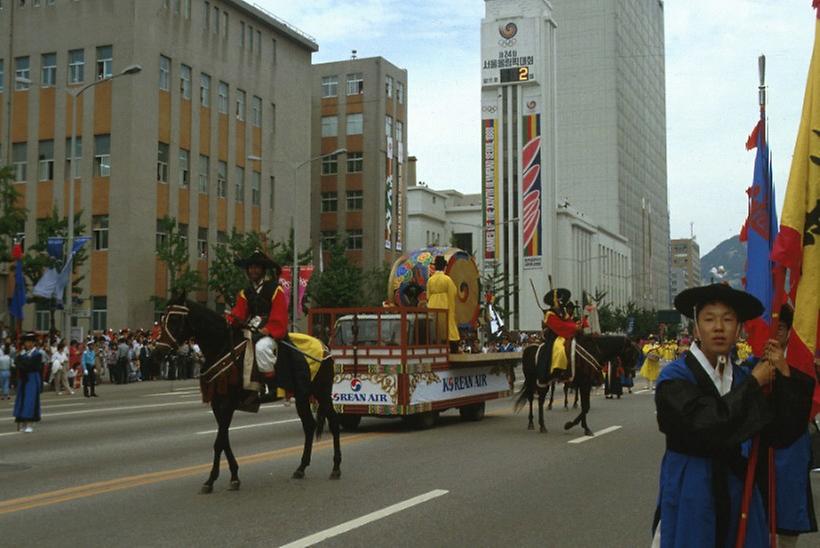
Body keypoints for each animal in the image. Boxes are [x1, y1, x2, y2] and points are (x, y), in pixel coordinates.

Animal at [152, 296, 342, 492]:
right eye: (163, 318)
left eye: (175, 320)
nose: (157, 352)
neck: (222, 346)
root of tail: (325, 346)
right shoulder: (217, 403)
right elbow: (224, 439)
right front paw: (233, 476)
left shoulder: (228, 402)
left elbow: (219, 441)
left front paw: (212, 480)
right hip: (302, 395)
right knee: (309, 426)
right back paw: (301, 468)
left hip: (321, 393)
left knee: (334, 423)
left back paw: (335, 468)